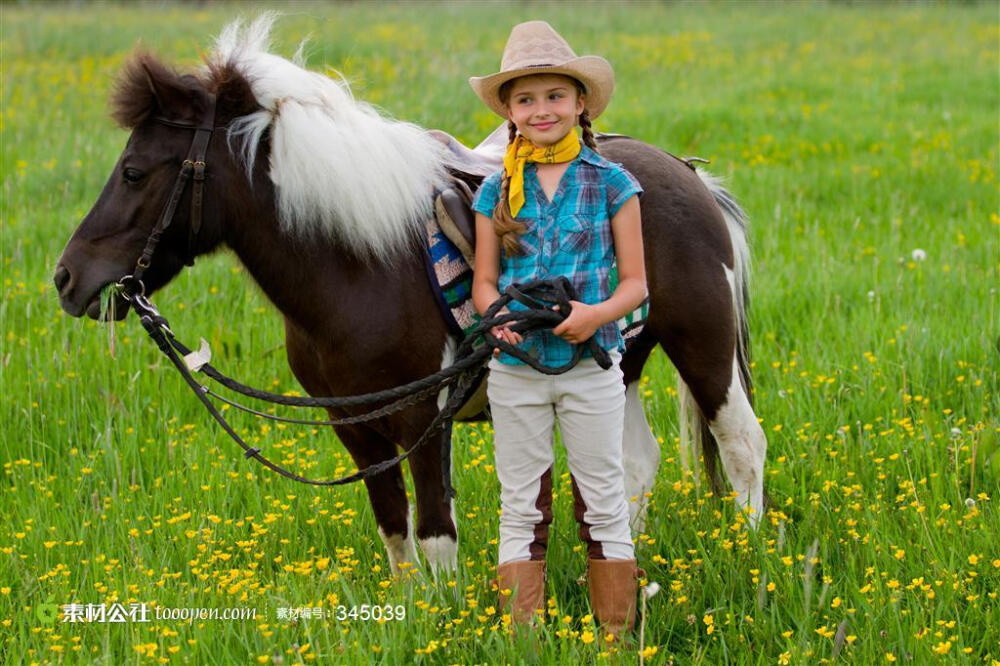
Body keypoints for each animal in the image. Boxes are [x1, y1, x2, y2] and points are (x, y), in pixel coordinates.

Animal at [54, 18, 768, 572]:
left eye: (134, 171)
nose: (67, 279)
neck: (358, 270)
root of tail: (690, 176)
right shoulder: (355, 430)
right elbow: (396, 532)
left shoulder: (425, 421)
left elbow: (434, 533)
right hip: (619, 363)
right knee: (633, 466)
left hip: (702, 345)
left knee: (741, 445)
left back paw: (750, 556)